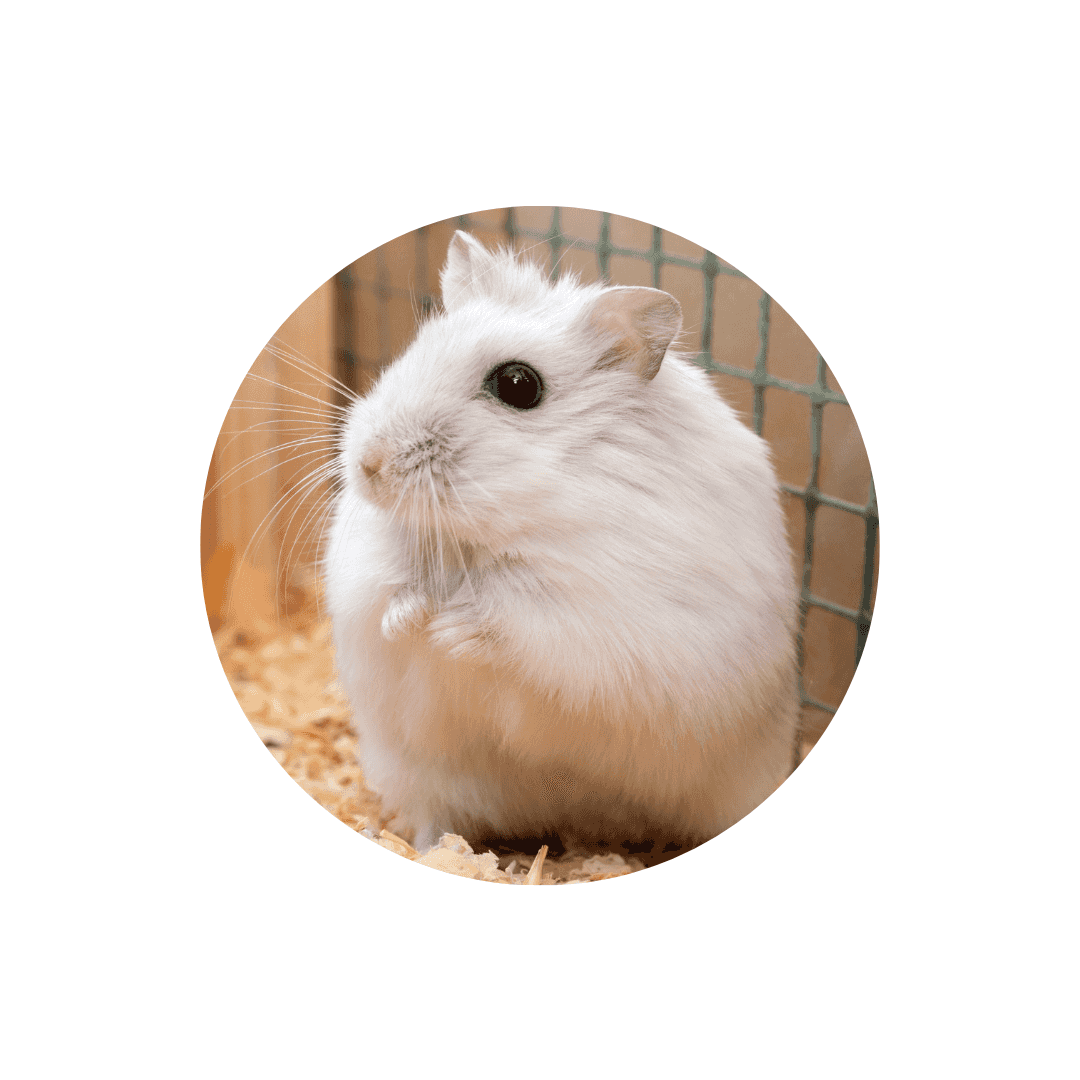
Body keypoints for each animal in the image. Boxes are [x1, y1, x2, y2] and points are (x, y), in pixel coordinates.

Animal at [324, 230, 800, 856]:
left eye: (518, 385)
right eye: (416, 350)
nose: (369, 466)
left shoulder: (599, 616)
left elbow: (522, 622)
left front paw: (448, 630)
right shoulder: (367, 571)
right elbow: (389, 593)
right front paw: (410, 622)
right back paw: (431, 848)